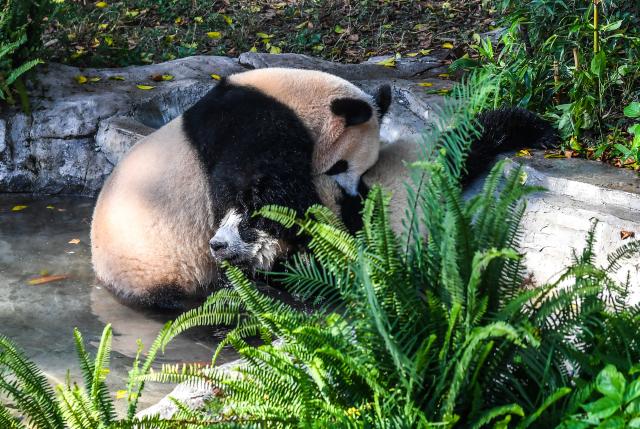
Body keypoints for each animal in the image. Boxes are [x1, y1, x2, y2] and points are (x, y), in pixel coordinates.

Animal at [91, 68, 391, 308]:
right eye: (339, 166)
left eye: (365, 171)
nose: (351, 194)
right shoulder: (250, 125)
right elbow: (258, 189)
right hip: (154, 260)